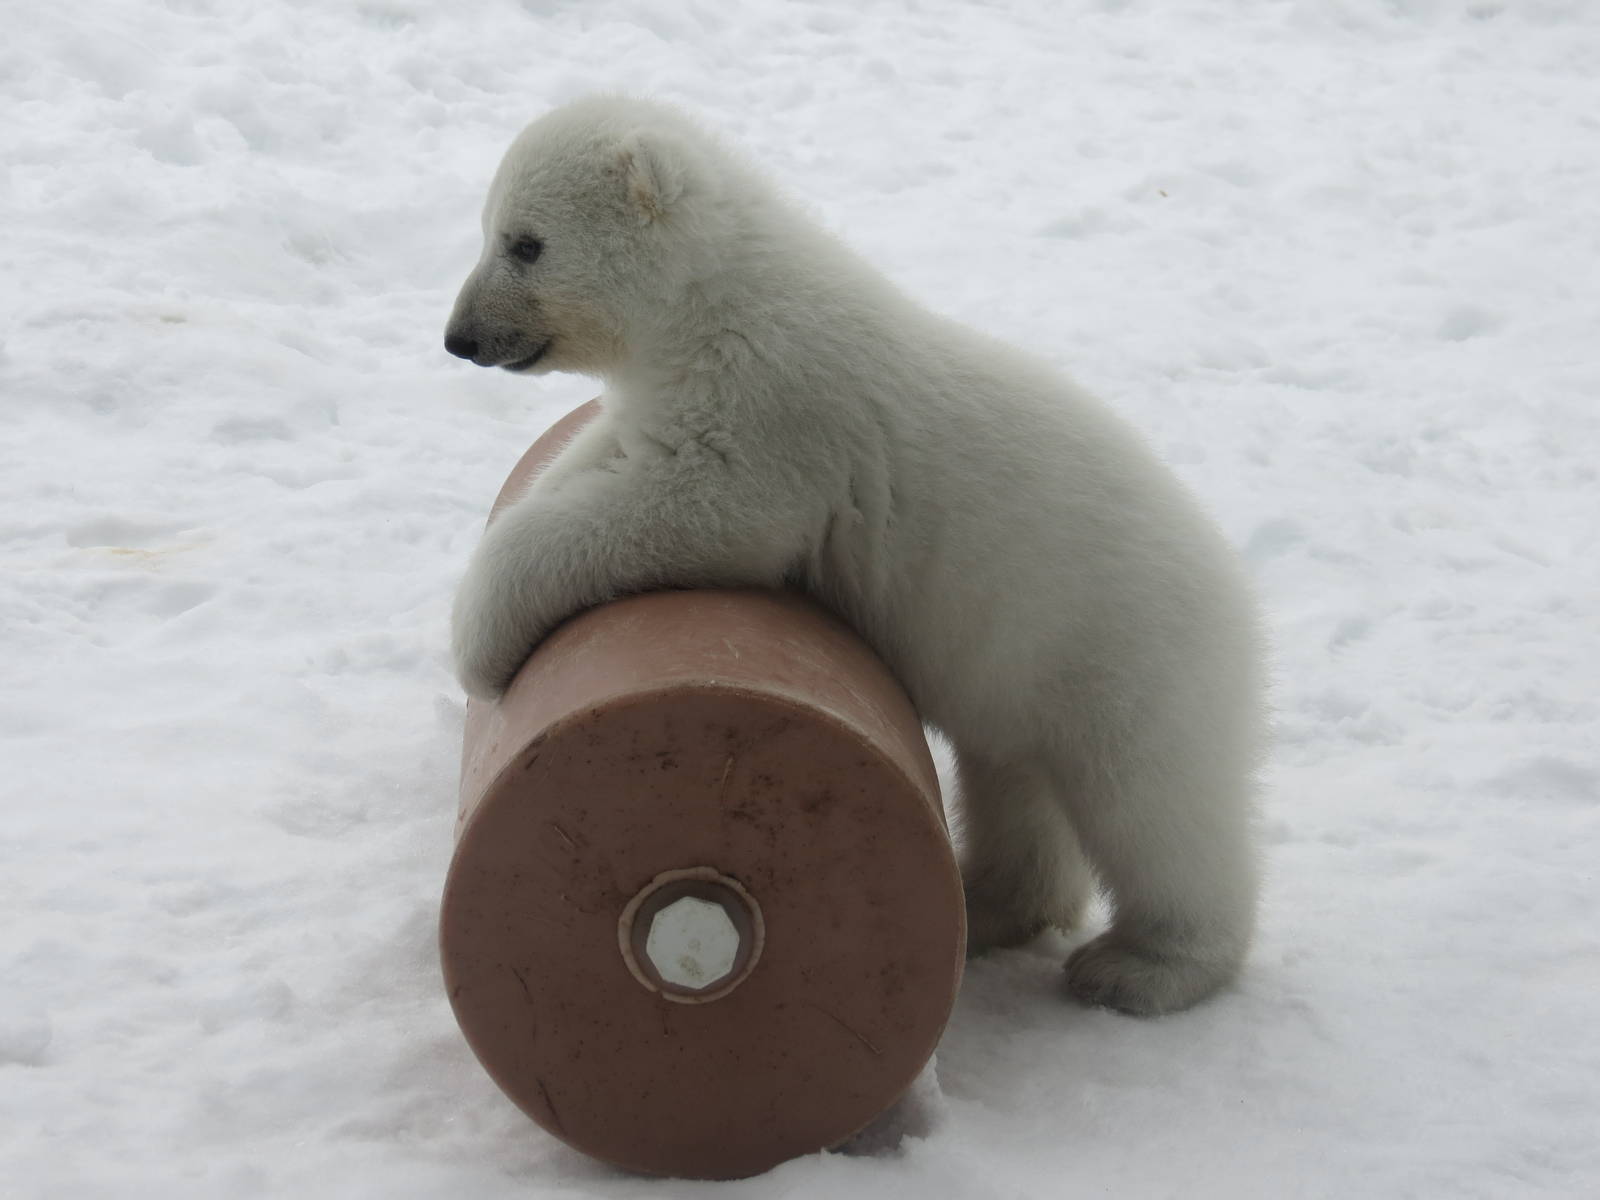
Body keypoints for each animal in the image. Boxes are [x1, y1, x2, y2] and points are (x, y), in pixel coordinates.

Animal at [443, 96, 1262, 1016]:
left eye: (525, 242)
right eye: (491, 230)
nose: (459, 337)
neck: (720, 297)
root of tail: (1237, 597)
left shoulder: (773, 410)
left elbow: (700, 511)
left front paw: (481, 646)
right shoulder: (671, 396)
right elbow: (592, 458)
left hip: (1122, 651)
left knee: (1155, 810)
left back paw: (1144, 965)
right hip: (1024, 674)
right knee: (1015, 783)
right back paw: (988, 903)